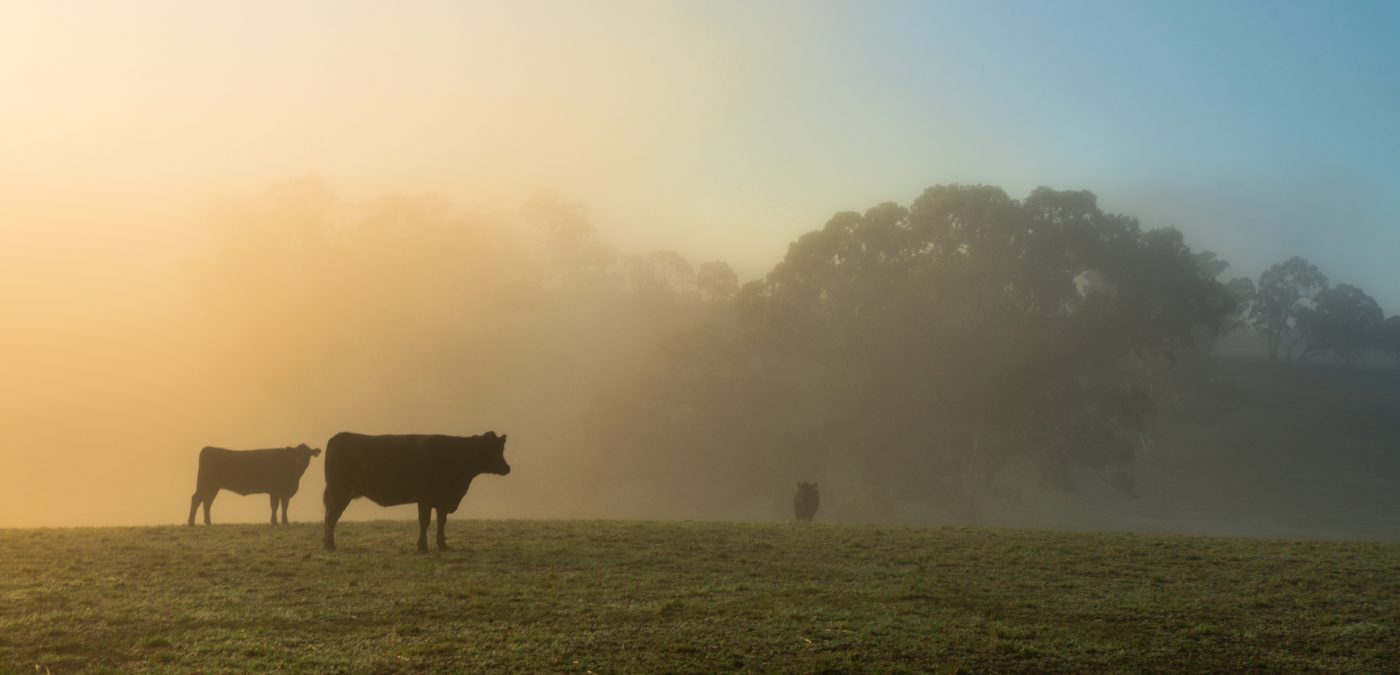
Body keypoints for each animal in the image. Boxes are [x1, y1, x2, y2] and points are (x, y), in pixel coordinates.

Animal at [186, 442, 322, 526]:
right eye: (296, 454)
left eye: (307, 454)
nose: (300, 463)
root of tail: (208, 448)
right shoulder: (275, 490)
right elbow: (275, 506)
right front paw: (274, 522)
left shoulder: (285, 492)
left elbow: (285, 506)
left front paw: (285, 522)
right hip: (205, 484)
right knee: (197, 499)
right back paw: (191, 522)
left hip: (213, 487)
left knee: (207, 502)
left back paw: (208, 522)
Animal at [320, 431, 509, 554]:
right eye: (493, 449)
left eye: (501, 448)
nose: (507, 468)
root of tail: (339, 436)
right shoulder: (425, 498)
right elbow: (424, 522)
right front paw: (422, 547)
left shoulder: (442, 500)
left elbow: (441, 522)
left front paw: (443, 545)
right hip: (339, 491)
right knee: (331, 517)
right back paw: (330, 545)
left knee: (329, 516)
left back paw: (327, 543)